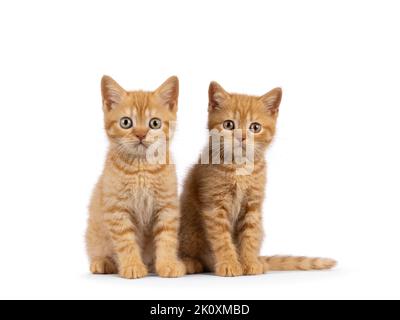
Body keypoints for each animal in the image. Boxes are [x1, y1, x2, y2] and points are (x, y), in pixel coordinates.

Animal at [86, 75, 186, 278]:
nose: (140, 134)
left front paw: (168, 264)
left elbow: (167, 238)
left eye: (154, 123)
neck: (142, 168)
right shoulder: (117, 208)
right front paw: (132, 265)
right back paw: (103, 262)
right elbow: (125, 241)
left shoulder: (167, 206)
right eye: (126, 122)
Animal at [180, 81, 336, 276]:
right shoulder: (215, 205)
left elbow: (250, 236)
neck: (239, 168)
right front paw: (229, 263)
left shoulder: (252, 205)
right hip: (189, 228)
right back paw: (191, 262)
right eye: (229, 125)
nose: (242, 137)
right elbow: (221, 238)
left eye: (255, 127)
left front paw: (249, 262)